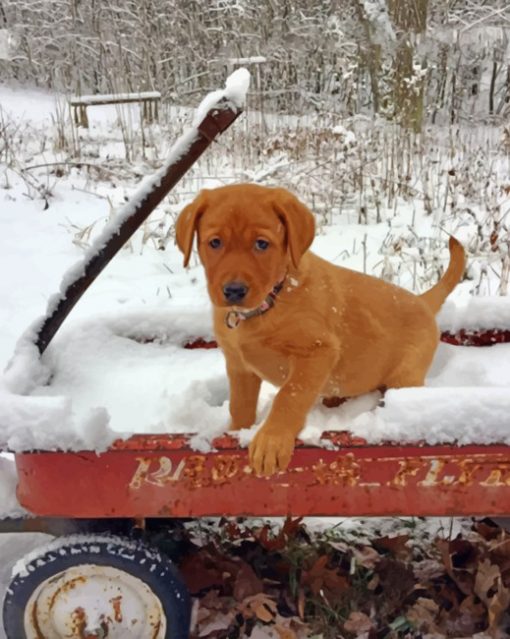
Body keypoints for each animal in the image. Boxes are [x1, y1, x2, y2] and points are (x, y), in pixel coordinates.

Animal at [176, 184, 466, 476]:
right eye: (215, 242)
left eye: (262, 244)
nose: (234, 291)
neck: (273, 300)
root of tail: (422, 301)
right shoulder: (239, 367)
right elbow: (240, 406)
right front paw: (236, 433)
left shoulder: (317, 352)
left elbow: (289, 396)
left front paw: (271, 440)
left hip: (406, 375)